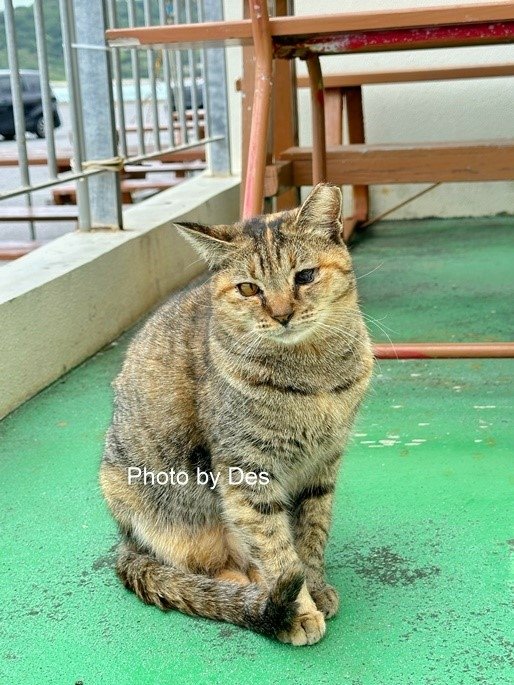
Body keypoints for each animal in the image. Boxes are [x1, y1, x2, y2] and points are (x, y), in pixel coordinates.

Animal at [101, 182, 372, 640]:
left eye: (305, 276)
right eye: (248, 289)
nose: (282, 315)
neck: (314, 372)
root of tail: (125, 542)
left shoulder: (322, 467)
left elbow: (312, 535)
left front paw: (316, 587)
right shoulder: (247, 473)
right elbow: (277, 551)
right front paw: (298, 610)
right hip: (139, 496)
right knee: (204, 572)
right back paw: (254, 597)